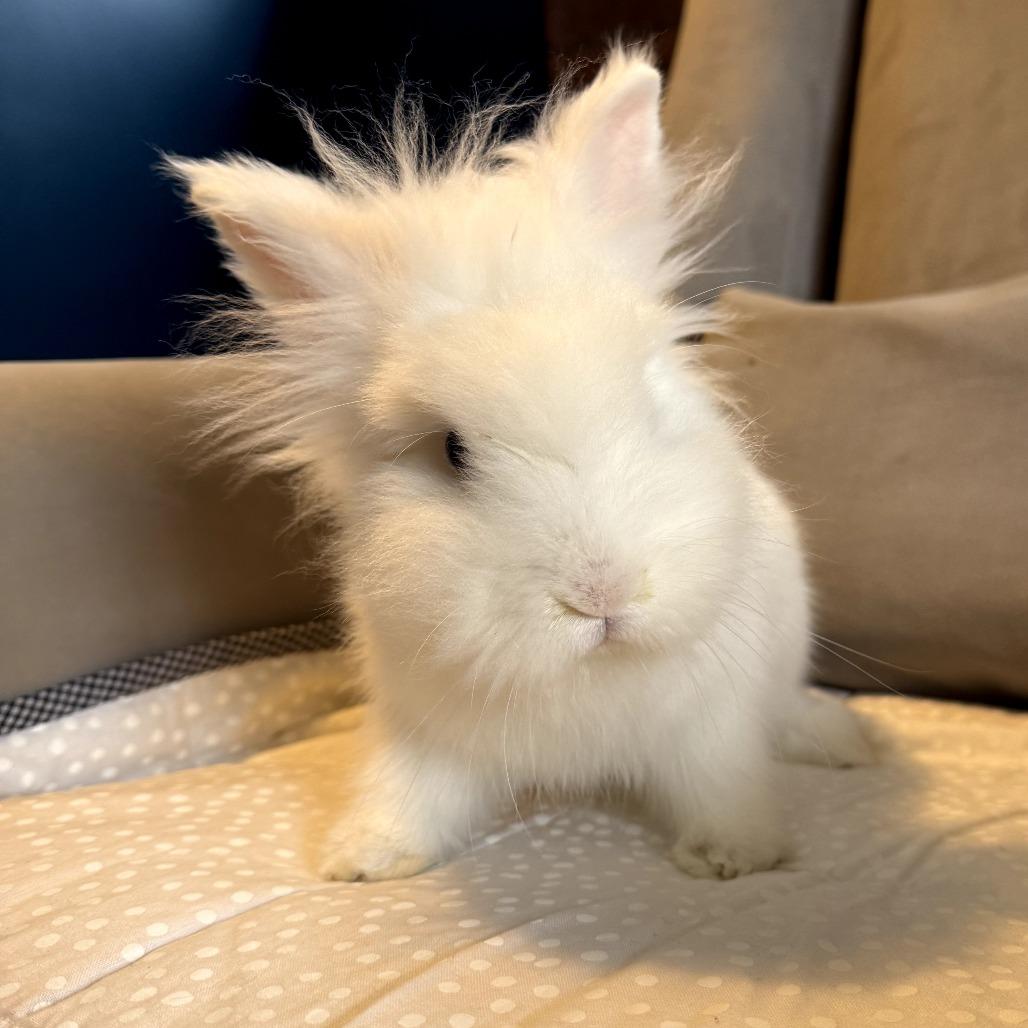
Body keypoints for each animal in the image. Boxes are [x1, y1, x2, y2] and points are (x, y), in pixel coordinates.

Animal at [167, 48, 873, 882]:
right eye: (451, 449)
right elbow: (411, 787)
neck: (586, 674)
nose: (600, 595)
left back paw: (843, 741)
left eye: (646, 403)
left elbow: (720, 779)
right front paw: (366, 856)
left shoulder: (712, 722)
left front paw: (735, 855)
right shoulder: (423, 728)